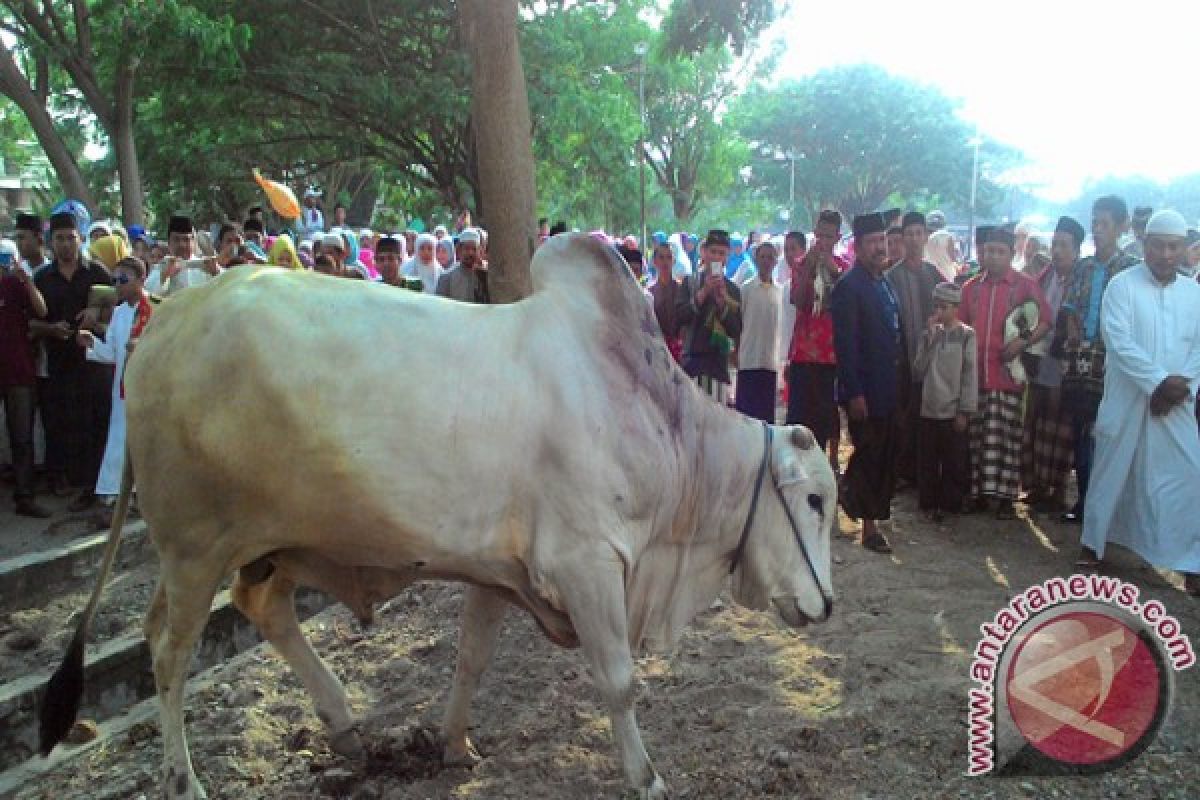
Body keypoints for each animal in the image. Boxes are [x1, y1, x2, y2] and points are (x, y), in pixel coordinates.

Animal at [44, 236, 835, 800]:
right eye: (817, 501)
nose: (826, 605)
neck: (656, 420)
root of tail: (165, 320)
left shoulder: (500, 571)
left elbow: (470, 659)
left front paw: (454, 746)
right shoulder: (587, 564)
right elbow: (618, 680)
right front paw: (646, 777)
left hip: (268, 544)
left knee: (260, 609)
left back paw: (344, 726)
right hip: (193, 547)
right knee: (167, 653)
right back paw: (185, 780)